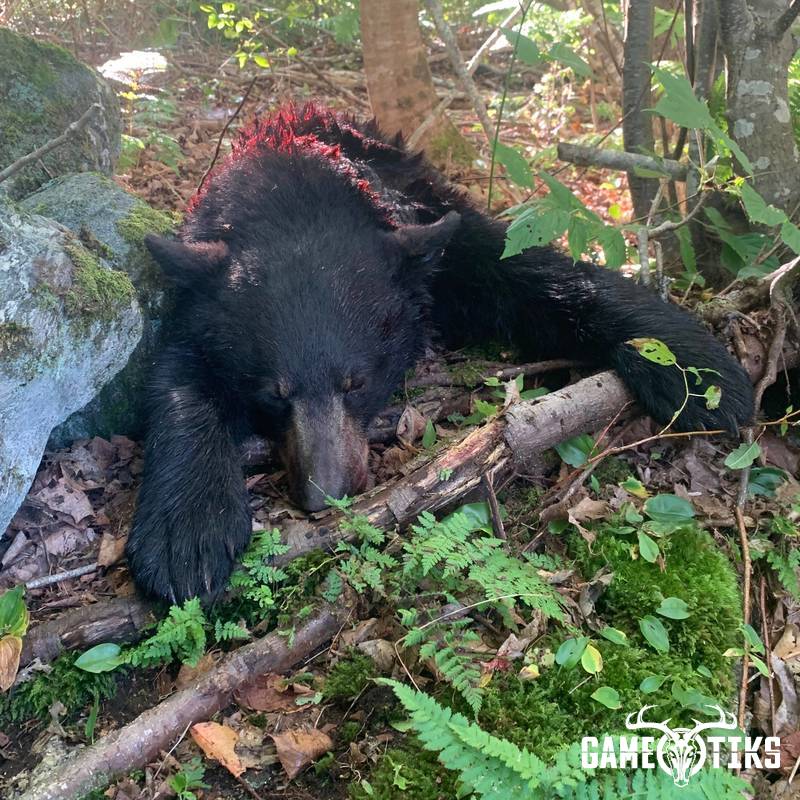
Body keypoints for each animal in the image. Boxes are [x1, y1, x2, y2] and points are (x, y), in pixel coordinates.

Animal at [126, 103, 754, 603]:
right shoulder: (197, 297)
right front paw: (188, 532)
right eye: (274, 393)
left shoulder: (434, 241)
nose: (325, 492)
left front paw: (694, 368)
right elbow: (178, 377)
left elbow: (535, 273)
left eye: (357, 382)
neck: (292, 195)